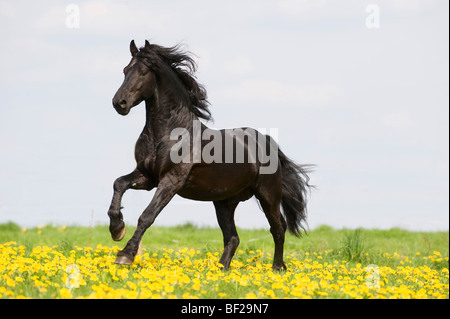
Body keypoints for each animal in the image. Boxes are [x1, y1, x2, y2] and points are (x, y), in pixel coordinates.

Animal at [109, 38, 312, 272]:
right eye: (125, 70)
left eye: (143, 72)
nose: (119, 103)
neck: (169, 132)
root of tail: (267, 141)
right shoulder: (147, 176)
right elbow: (119, 183)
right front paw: (117, 229)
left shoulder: (171, 180)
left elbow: (147, 216)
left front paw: (125, 255)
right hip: (224, 202)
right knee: (233, 237)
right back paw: (220, 270)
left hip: (268, 195)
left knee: (278, 228)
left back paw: (277, 268)